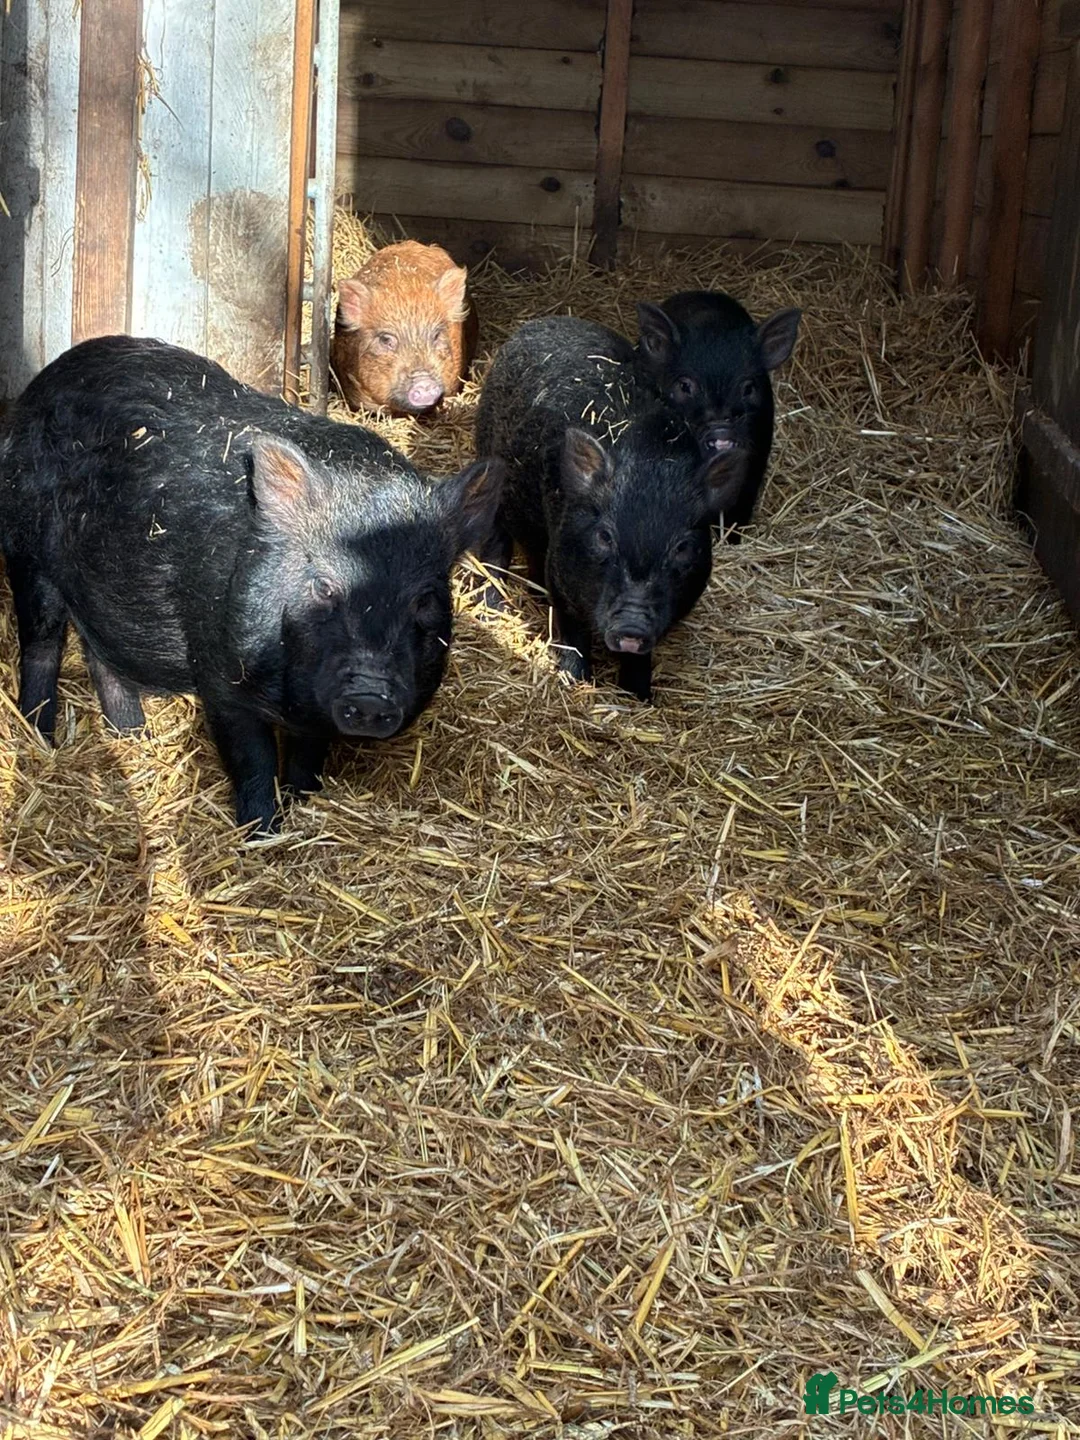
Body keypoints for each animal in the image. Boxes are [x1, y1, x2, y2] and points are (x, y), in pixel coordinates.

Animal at [0, 335, 502, 835]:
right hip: (26, 549)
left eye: (425, 598)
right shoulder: (219, 672)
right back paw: (41, 736)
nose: (371, 694)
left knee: (100, 656)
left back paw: (132, 735)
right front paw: (260, 833)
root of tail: (47, 378)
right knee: (42, 642)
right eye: (324, 587)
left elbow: (306, 757)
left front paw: (303, 806)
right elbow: (252, 758)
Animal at [474, 317, 744, 702]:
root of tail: (543, 322)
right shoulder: (562, 570)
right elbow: (572, 635)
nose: (631, 625)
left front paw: (639, 697)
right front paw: (576, 684)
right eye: (604, 537)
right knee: (495, 547)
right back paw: (492, 607)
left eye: (682, 547)